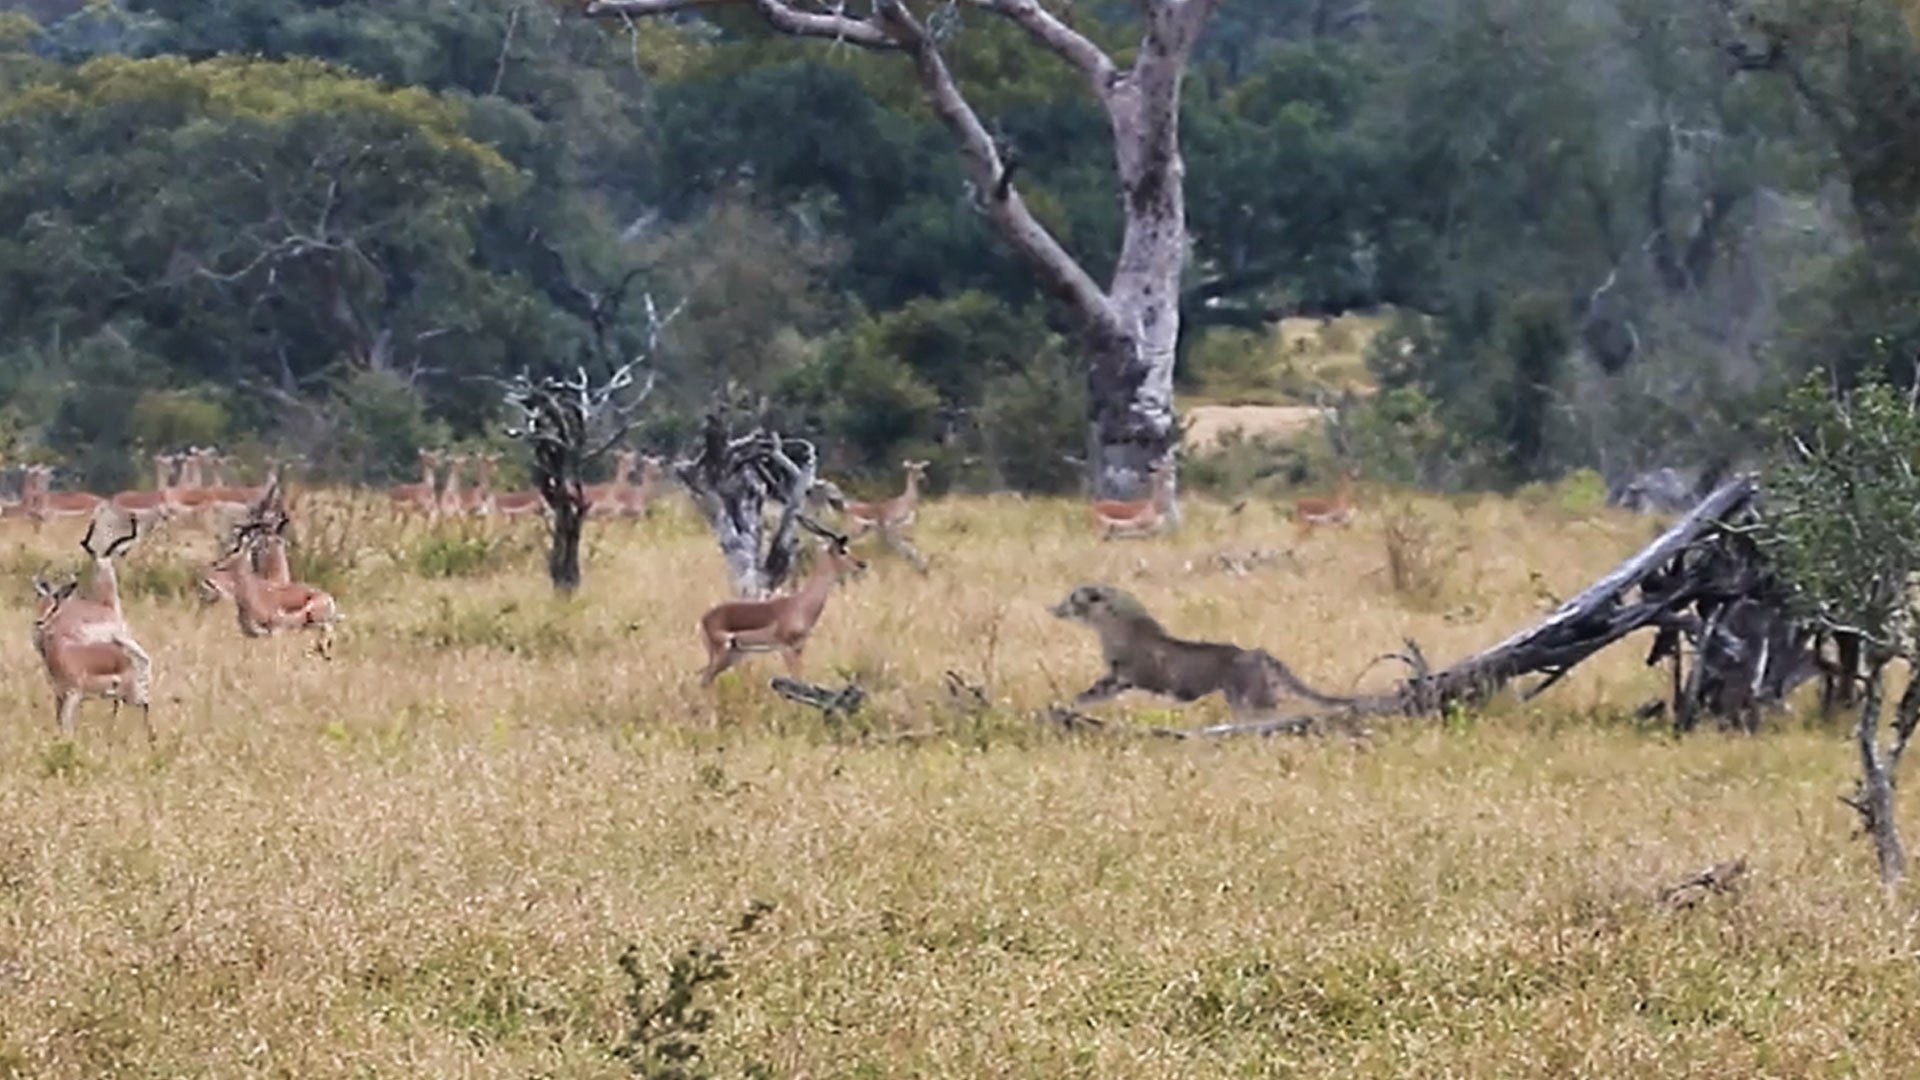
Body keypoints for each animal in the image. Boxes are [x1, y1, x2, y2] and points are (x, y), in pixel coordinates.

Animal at [697, 528, 868, 686]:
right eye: (842, 550)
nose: (862, 564)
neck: (800, 604)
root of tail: (704, 618)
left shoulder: (799, 648)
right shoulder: (786, 648)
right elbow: (795, 680)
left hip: (734, 654)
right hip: (721, 653)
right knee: (704, 679)